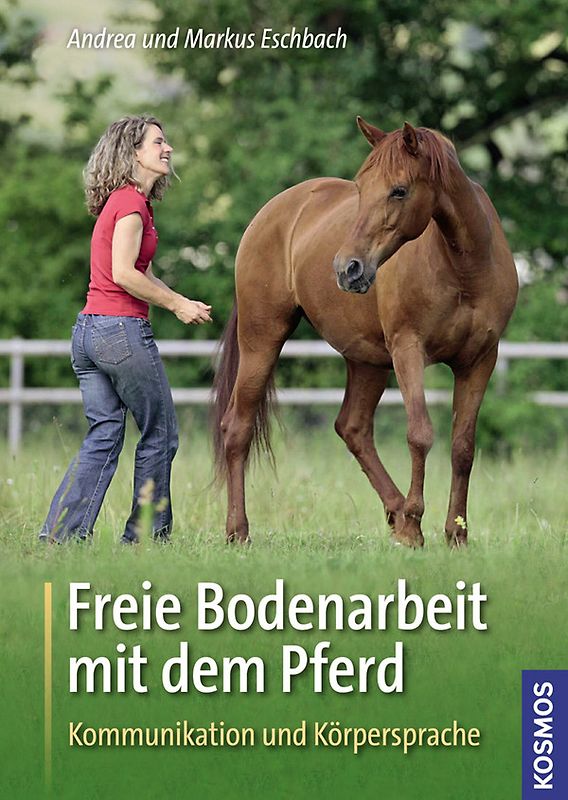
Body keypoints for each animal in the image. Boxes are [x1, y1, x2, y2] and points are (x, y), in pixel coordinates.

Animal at [213, 119, 518, 548]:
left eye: (399, 190)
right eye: (361, 188)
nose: (347, 268)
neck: (465, 267)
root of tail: (274, 211)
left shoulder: (480, 360)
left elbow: (463, 446)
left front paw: (455, 532)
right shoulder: (408, 350)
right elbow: (420, 434)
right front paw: (416, 524)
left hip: (367, 361)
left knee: (352, 428)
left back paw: (397, 513)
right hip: (263, 338)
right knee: (237, 427)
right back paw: (238, 531)